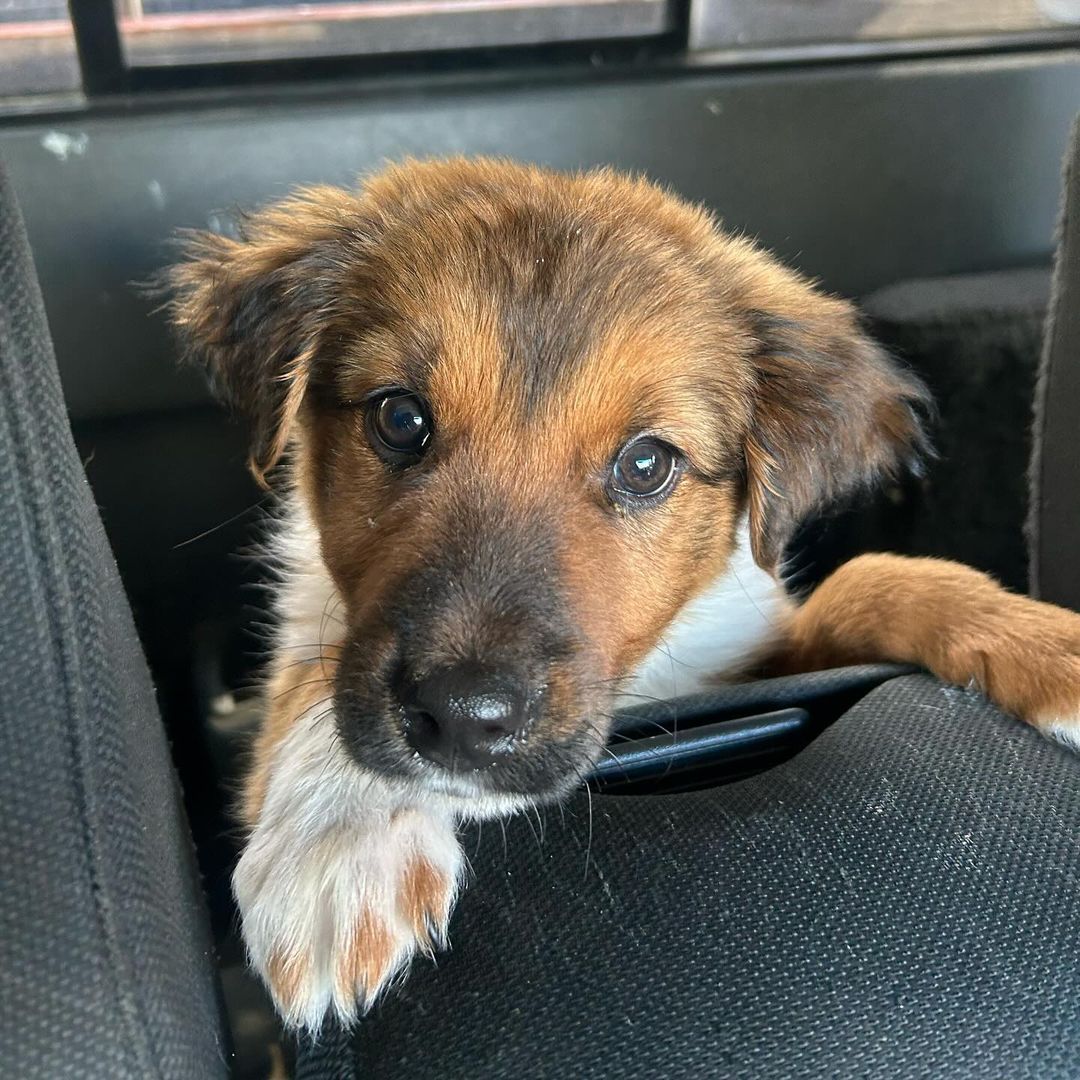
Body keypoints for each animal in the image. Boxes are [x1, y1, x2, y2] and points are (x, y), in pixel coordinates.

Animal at [166, 157, 1080, 1028]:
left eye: (646, 464)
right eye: (400, 420)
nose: (464, 717)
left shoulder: (742, 645)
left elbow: (873, 577)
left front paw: (1051, 648)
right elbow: (313, 674)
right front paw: (341, 837)